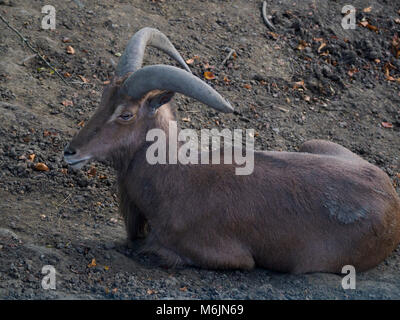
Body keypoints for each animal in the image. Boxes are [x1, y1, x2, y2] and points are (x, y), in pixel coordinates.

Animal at [65, 27, 400, 272]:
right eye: (103, 97)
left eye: (126, 114)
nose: (71, 152)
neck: (174, 177)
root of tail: (392, 201)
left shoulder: (228, 255)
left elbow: (153, 250)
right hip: (311, 144)